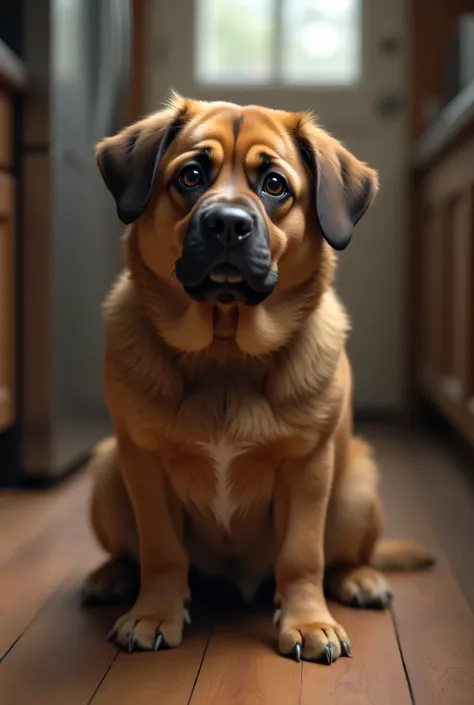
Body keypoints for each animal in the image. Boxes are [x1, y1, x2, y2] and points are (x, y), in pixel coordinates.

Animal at [82, 95, 434, 664]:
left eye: (274, 185)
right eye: (191, 176)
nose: (227, 223)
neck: (226, 354)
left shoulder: (308, 468)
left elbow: (302, 556)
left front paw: (308, 621)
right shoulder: (143, 464)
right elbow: (160, 550)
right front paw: (153, 612)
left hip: (355, 486)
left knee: (340, 557)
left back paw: (359, 578)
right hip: (108, 473)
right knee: (131, 552)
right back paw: (111, 576)